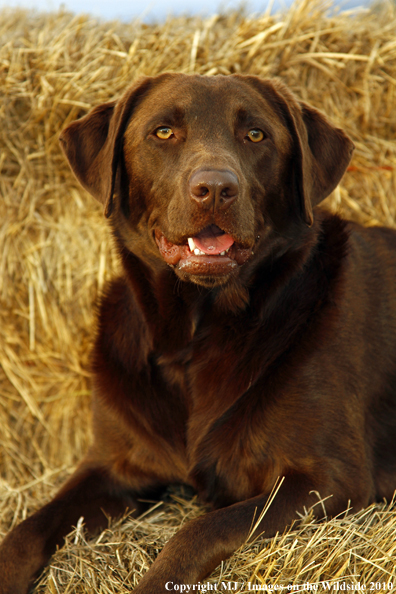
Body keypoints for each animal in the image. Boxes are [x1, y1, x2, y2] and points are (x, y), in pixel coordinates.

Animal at [0, 75, 396, 592]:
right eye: (164, 132)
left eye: (256, 135)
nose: (215, 189)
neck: (194, 335)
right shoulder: (108, 468)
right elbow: (26, 530)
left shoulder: (326, 480)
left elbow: (197, 530)